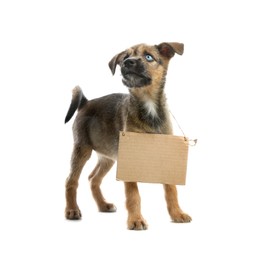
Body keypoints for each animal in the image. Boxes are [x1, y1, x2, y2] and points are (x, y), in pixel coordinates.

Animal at [63, 41, 191, 231]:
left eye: (149, 57)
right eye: (125, 57)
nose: (127, 62)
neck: (149, 105)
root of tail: (86, 103)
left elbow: (171, 189)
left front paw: (177, 213)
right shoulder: (130, 160)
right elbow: (133, 194)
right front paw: (136, 220)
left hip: (108, 157)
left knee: (93, 178)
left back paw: (103, 205)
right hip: (82, 149)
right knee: (71, 180)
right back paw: (72, 210)